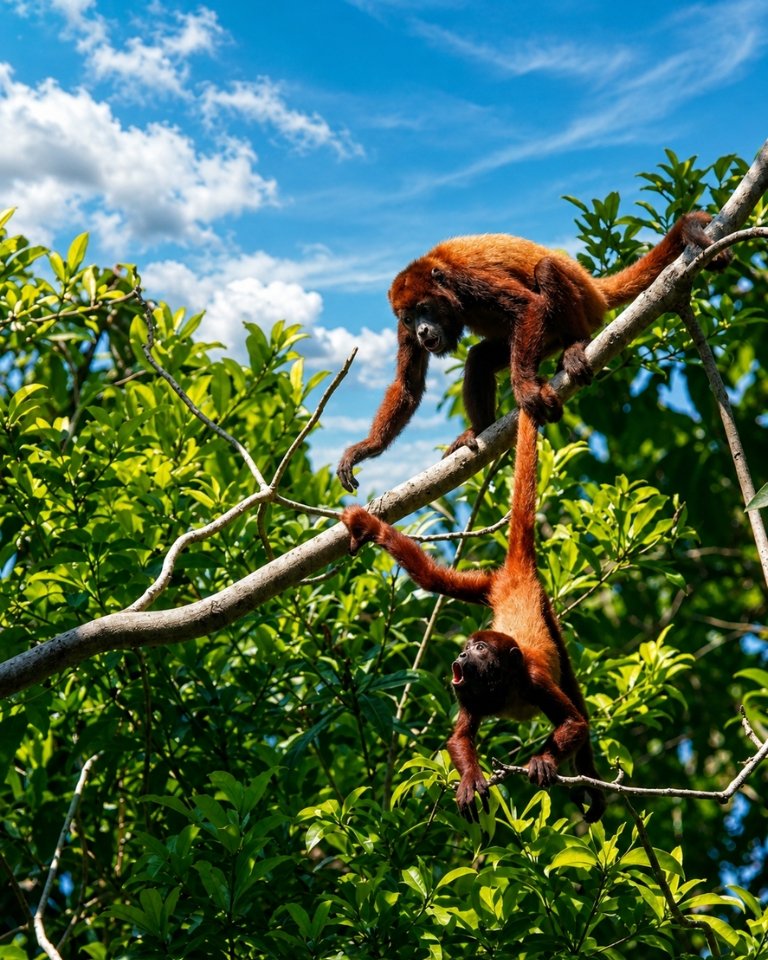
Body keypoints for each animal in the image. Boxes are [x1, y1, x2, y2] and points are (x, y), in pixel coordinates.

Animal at [337, 211, 729, 491]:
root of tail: (593, 286)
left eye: (425, 309)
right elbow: (408, 386)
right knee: (478, 359)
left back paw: (576, 344)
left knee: (546, 270)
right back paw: (479, 429)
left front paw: (525, 388)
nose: (421, 330)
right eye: (408, 317)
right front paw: (366, 448)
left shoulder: (467, 279)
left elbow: (527, 306)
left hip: (576, 311)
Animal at [340, 408, 605, 822]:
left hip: (538, 604)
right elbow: (459, 737)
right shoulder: (468, 694)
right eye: (468, 646)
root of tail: (516, 578)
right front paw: (469, 780)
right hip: (487, 585)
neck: (501, 686)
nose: (463, 653)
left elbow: (575, 722)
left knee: (573, 688)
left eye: (480, 649)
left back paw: (589, 777)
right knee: (430, 578)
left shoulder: (533, 681)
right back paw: (369, 529)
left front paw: (543, 761)